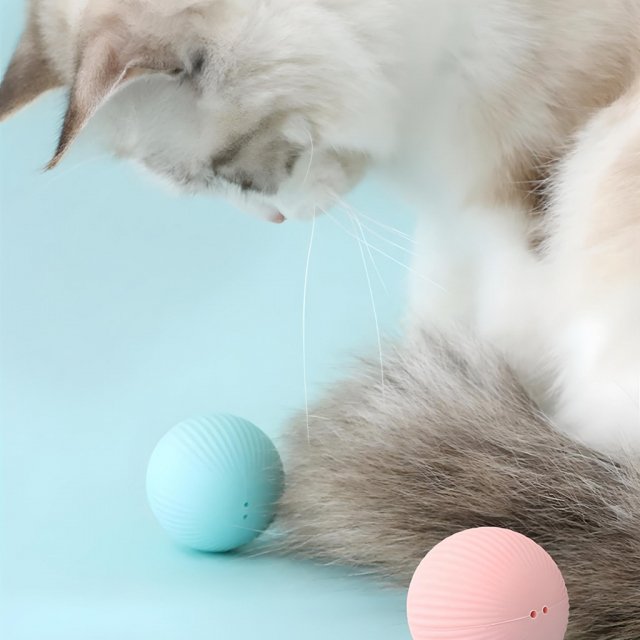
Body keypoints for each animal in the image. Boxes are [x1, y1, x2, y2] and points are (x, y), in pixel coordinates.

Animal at [1, 1, 639, 638]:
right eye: (211, 186)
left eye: (227, 175)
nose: (276, 218)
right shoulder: (452, 224)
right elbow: (447, 323)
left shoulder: (519, 196)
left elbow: (518, 339)